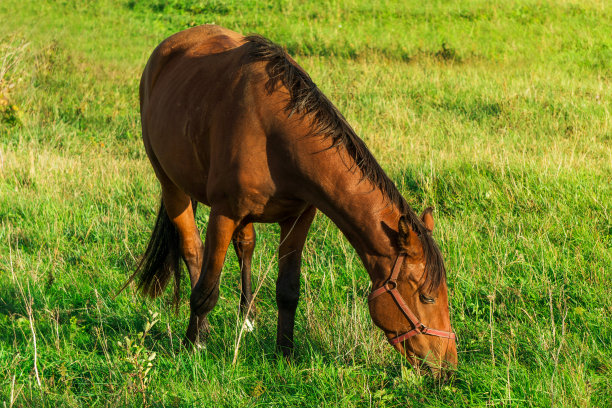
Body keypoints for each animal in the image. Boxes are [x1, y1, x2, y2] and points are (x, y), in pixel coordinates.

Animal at [134, 24, 460, 372]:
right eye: (427, 297)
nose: (448, 367)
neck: (273, 135)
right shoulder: (224, 213)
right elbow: (207, 288)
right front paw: (193, 345)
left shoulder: (298, 218)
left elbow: (288, 290)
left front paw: (285, 352)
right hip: (171, 185)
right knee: (193, 250)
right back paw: (203, 330)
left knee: (245, 246)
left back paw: (246, 318)